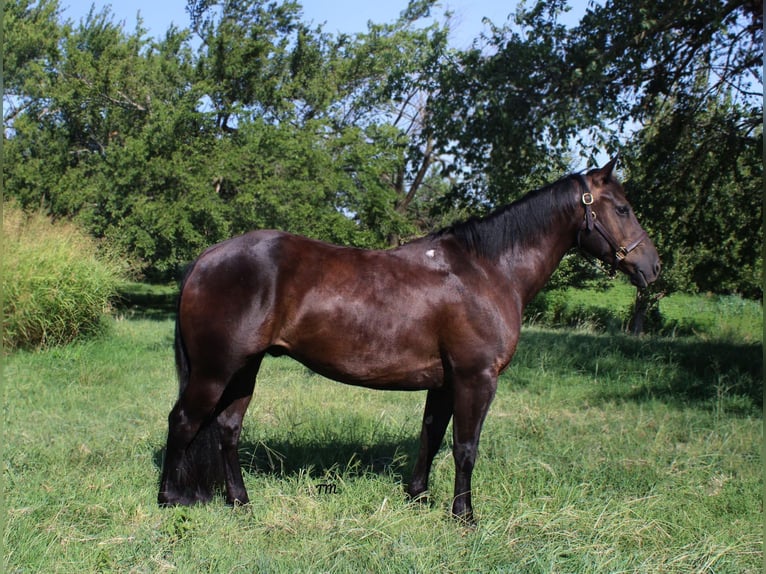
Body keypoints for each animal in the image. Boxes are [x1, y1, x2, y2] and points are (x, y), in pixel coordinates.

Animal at [159, 160, 664, 524]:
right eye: (622, 208)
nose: (653, 268)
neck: (486, 270)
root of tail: (207, 257)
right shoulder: (476, 379)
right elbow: (464, 447)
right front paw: (464, 516)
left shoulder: (444, 383)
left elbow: (432, 436)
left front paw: (418, 497)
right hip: (215, 370)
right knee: (182, 421)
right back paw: (168, 500)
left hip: (244, 369)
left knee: (227, 429)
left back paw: (241, 503)